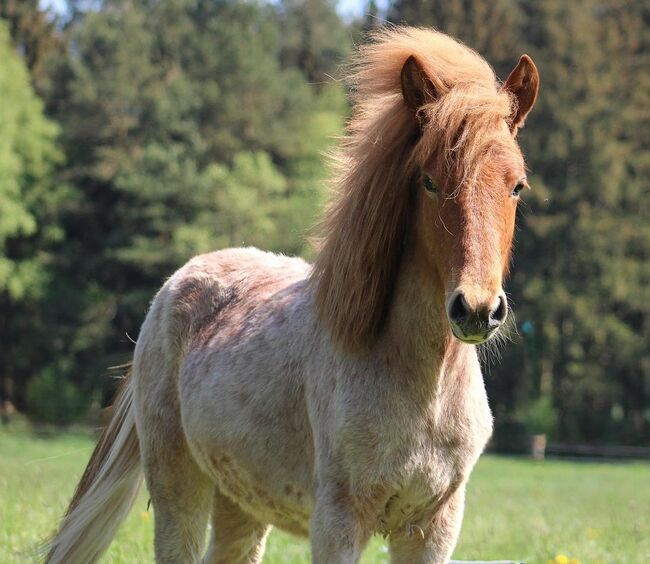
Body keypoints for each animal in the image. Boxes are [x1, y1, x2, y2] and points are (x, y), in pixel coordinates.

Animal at [45, 26, 540, 564]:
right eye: (429, 182)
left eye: (517, 186)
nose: (477, 310)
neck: (420, 385)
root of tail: (176, 285)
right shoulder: (339, 522)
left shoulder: (432, 528)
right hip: (179, 484)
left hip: (241, 502)